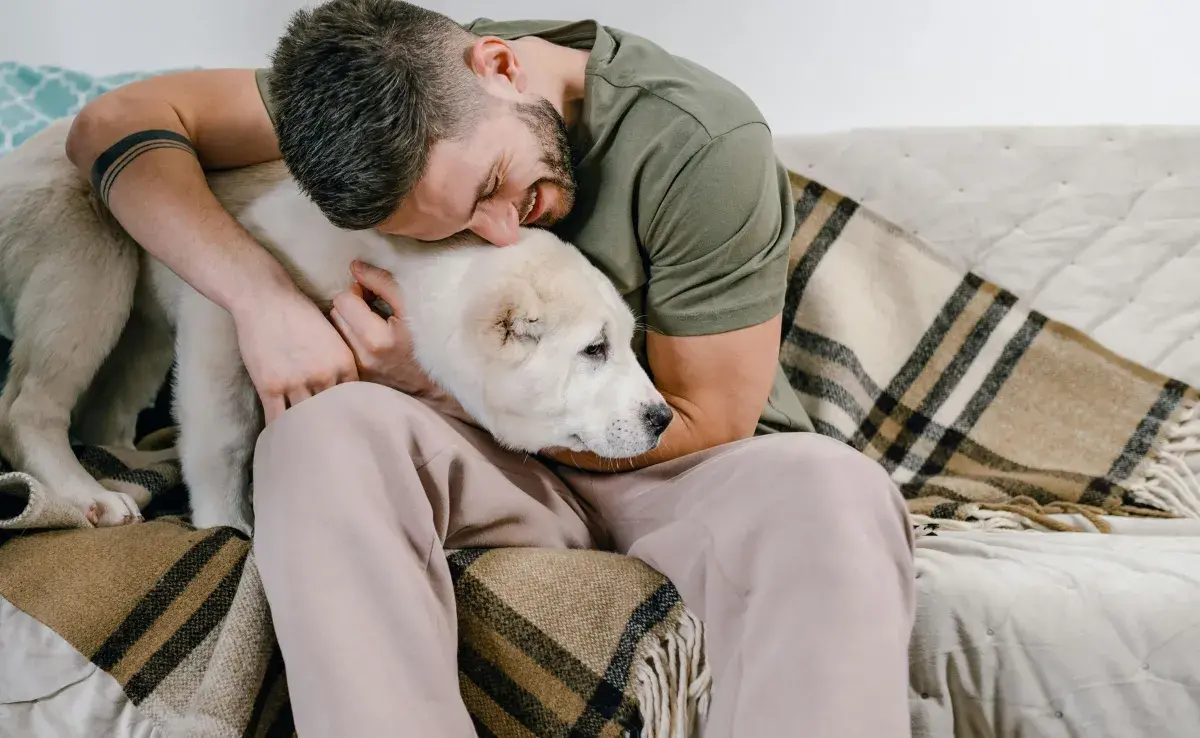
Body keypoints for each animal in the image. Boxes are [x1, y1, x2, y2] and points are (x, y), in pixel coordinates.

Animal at [0, 120, 676, 537]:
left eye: (626, 343)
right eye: (593, 349)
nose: (663, 418)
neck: (411, 258)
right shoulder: (228, 303)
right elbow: (225, 434)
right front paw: (224, 524)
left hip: (139, 323)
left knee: (103, 413)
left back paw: (131, 459)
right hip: (89, 266)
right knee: (29, 405)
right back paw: (85, 493)